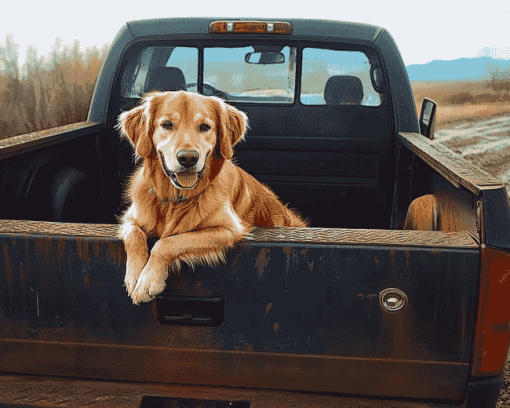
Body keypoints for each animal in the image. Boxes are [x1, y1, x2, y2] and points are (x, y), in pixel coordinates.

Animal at [116, 91, 306, 304]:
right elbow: (134, 236)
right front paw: (134, 277)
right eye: (167, 124)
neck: (175, 199)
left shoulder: (228, 229)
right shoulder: (130, 218)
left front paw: (148, 281)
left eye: (204, 127)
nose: (188, 158)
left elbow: (167, 243)